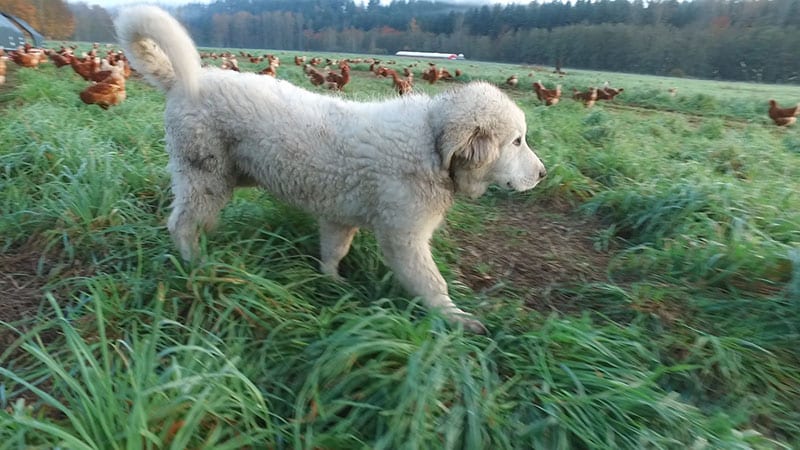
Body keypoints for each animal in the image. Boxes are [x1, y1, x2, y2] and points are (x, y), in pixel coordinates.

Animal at [115, 5, 548, 332]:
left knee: (196, 219)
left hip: (219, 179)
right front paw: (456, 319)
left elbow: (333, 253)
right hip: (203, 175)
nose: (544, 174)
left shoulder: (339, 218)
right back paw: (196, 264)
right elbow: (431, 282)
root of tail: (180, 80)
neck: (430, 142)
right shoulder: (404, 238)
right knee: (180, 224)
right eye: (517, 141)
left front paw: (333, 284)